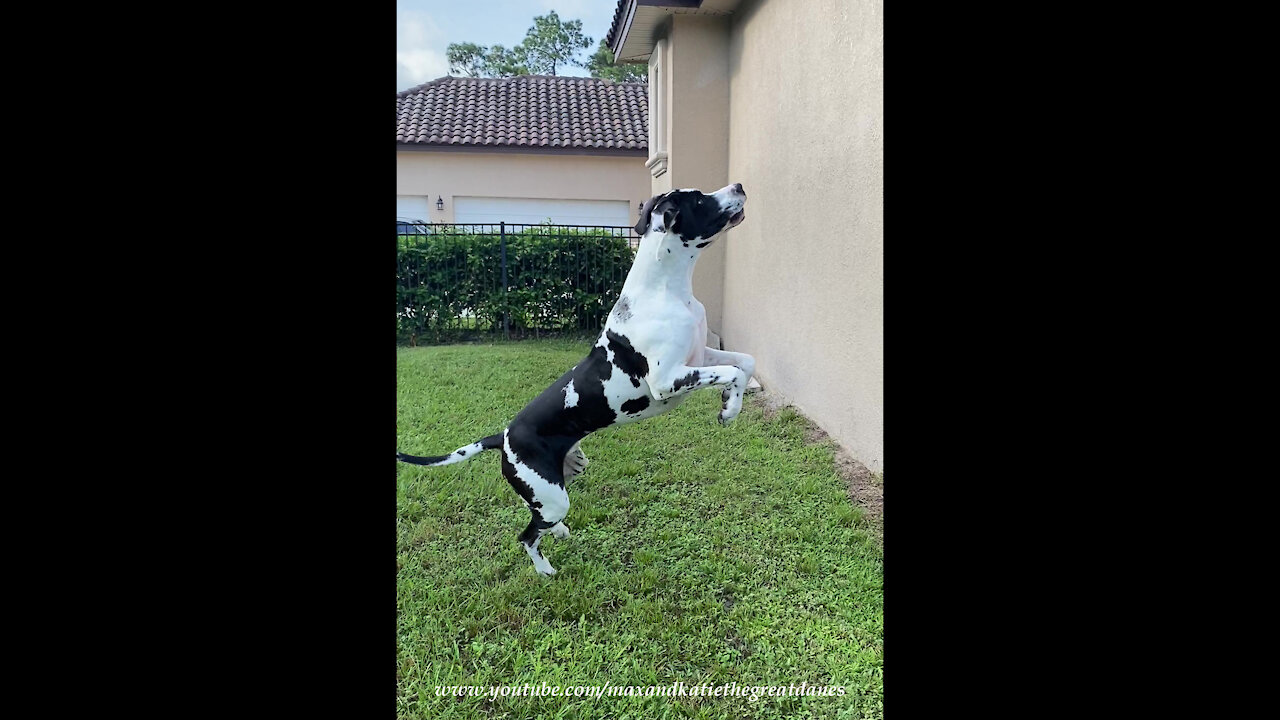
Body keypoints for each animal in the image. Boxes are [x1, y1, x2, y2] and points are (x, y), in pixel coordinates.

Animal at [396, 183, 747, 571]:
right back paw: (545, 570)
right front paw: (729, 410)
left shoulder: (700, 357)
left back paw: (560, 532)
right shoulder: (667, 380)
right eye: (699, 198)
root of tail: (502, 438)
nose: (739, 186)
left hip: (560, 480)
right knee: (527, 535)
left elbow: (744, 363)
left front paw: (731, 402)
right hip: (553, 497)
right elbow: (732, 371)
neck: (665, 291)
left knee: (533, 513)